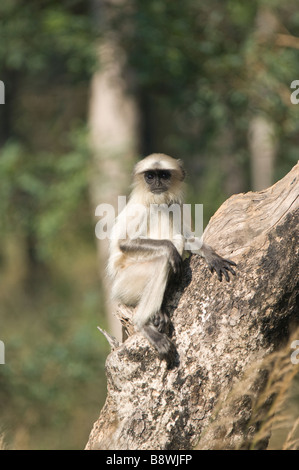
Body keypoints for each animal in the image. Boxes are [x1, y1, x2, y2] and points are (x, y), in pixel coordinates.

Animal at [108, 153, 237, 356]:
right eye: (150, 176)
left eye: (163, 175)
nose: (156, 183)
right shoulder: (142, 206)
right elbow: (124, 243)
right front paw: (170, 250)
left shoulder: (176, 203)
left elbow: (187, 238)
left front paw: (212, 255)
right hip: (124, 282)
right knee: (163, 255)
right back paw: (143, 323)